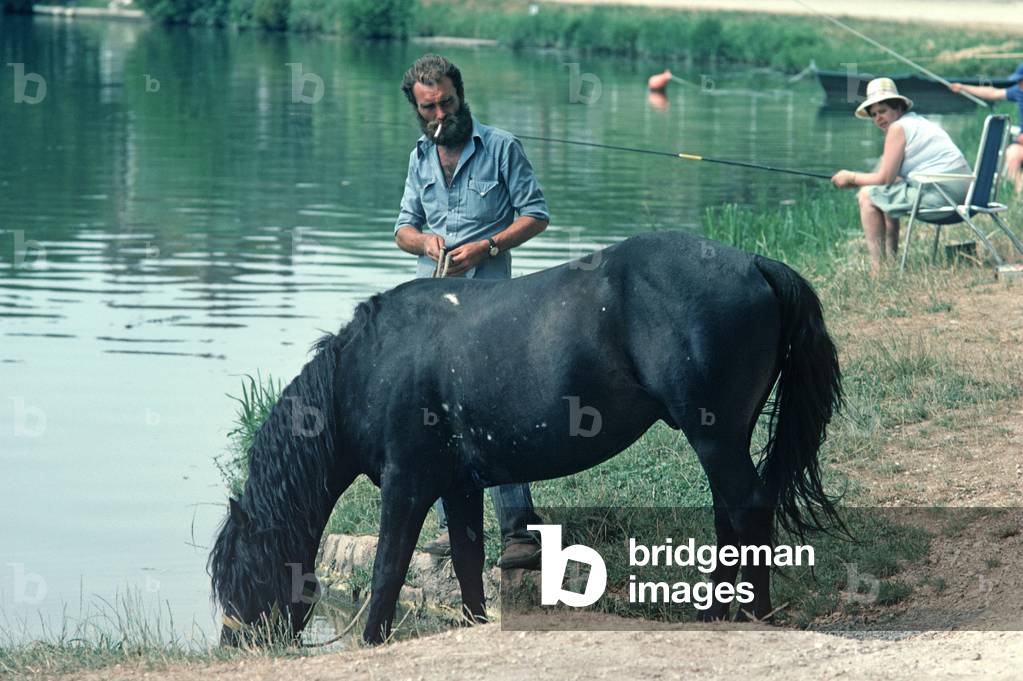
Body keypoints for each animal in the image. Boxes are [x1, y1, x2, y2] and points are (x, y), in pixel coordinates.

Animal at [208, 230, 842, 645]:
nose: (237, 643)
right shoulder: (458, 485)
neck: (367, 367)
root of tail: (756, 264)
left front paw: (371, 641)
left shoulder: (406, 484)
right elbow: (467, 563)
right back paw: (715, 612)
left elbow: (388, 567)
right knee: (727, 513)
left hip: (714, 437)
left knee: (749, 507)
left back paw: (754, 614)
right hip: (722, 438)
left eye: (239, 567)